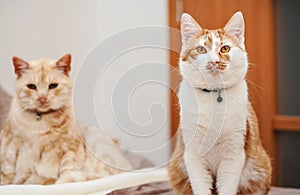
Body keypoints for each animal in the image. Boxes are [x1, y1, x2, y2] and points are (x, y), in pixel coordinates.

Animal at [0, 53, 127, 184]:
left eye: (53, 86)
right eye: (31, 86)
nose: (42, 98)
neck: (40, 118)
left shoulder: (70, 148)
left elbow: (67, 172)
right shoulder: (11, 144)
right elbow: (7, 172)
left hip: (94, 137)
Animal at [169, 11, 272, 193]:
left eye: (225, 48)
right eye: (201, 49)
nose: (214, 61)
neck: (213, 95)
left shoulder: (234, 153)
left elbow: (227, 186)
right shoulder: (193, 155)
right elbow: (201, 187)